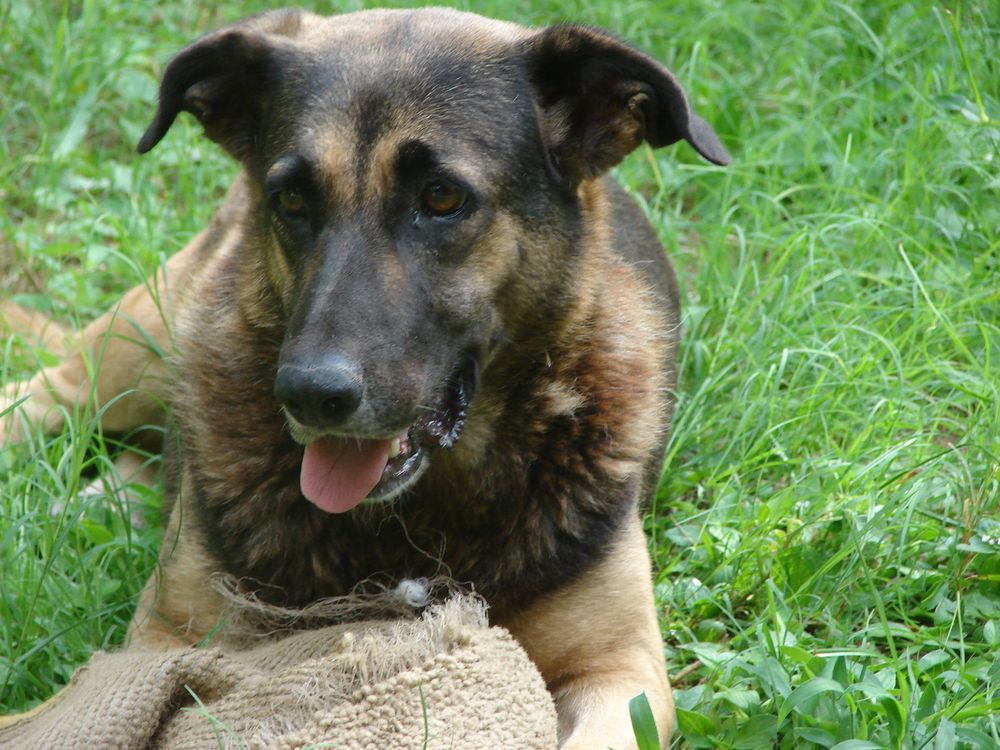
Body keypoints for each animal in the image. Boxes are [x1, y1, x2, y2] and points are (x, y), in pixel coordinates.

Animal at [1, 8, 736, 748]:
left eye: (442, 197)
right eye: (291, 199)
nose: (308, 395)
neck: (414, 518)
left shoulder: (620, 672)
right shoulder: (166, 641)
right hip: (137, 342)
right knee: (47, 393)